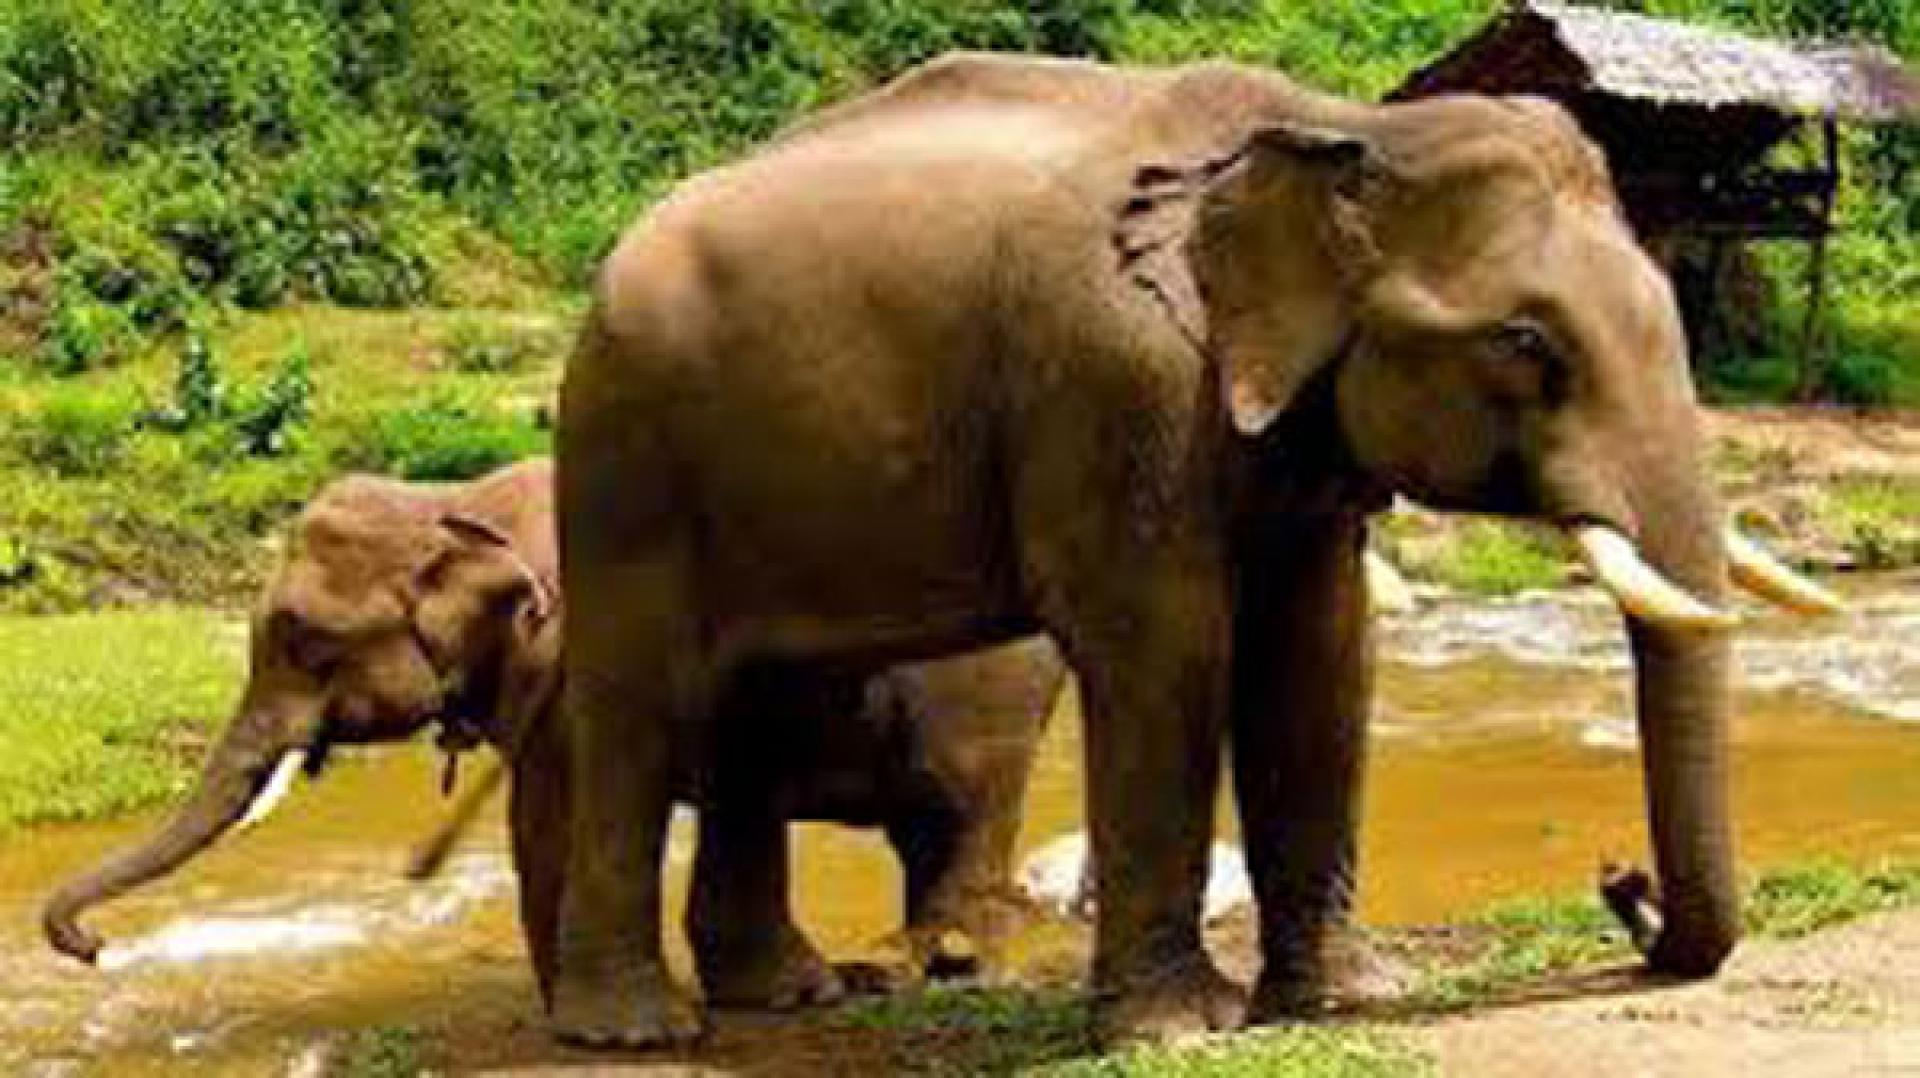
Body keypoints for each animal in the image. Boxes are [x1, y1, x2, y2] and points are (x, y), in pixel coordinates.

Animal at [40, 457, 1068, 1008]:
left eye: (306, 642)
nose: (92, 950)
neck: (453, 498)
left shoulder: (576, 657)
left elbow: (551, 826)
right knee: (925, 829)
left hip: (988, 691)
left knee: (967, 806)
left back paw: (952, 971)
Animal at [548, 51, 1838, 1048]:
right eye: (1525, 343)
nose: (1623, 883)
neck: (1334, 129)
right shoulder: (1115, 383)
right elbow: (1168, 647)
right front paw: (1182, 1030)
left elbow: (1320, 655)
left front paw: (1348, 997)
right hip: (625, 452)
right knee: (641, 703)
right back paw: (637, 1031)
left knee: (753, 704)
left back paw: (784, 997)